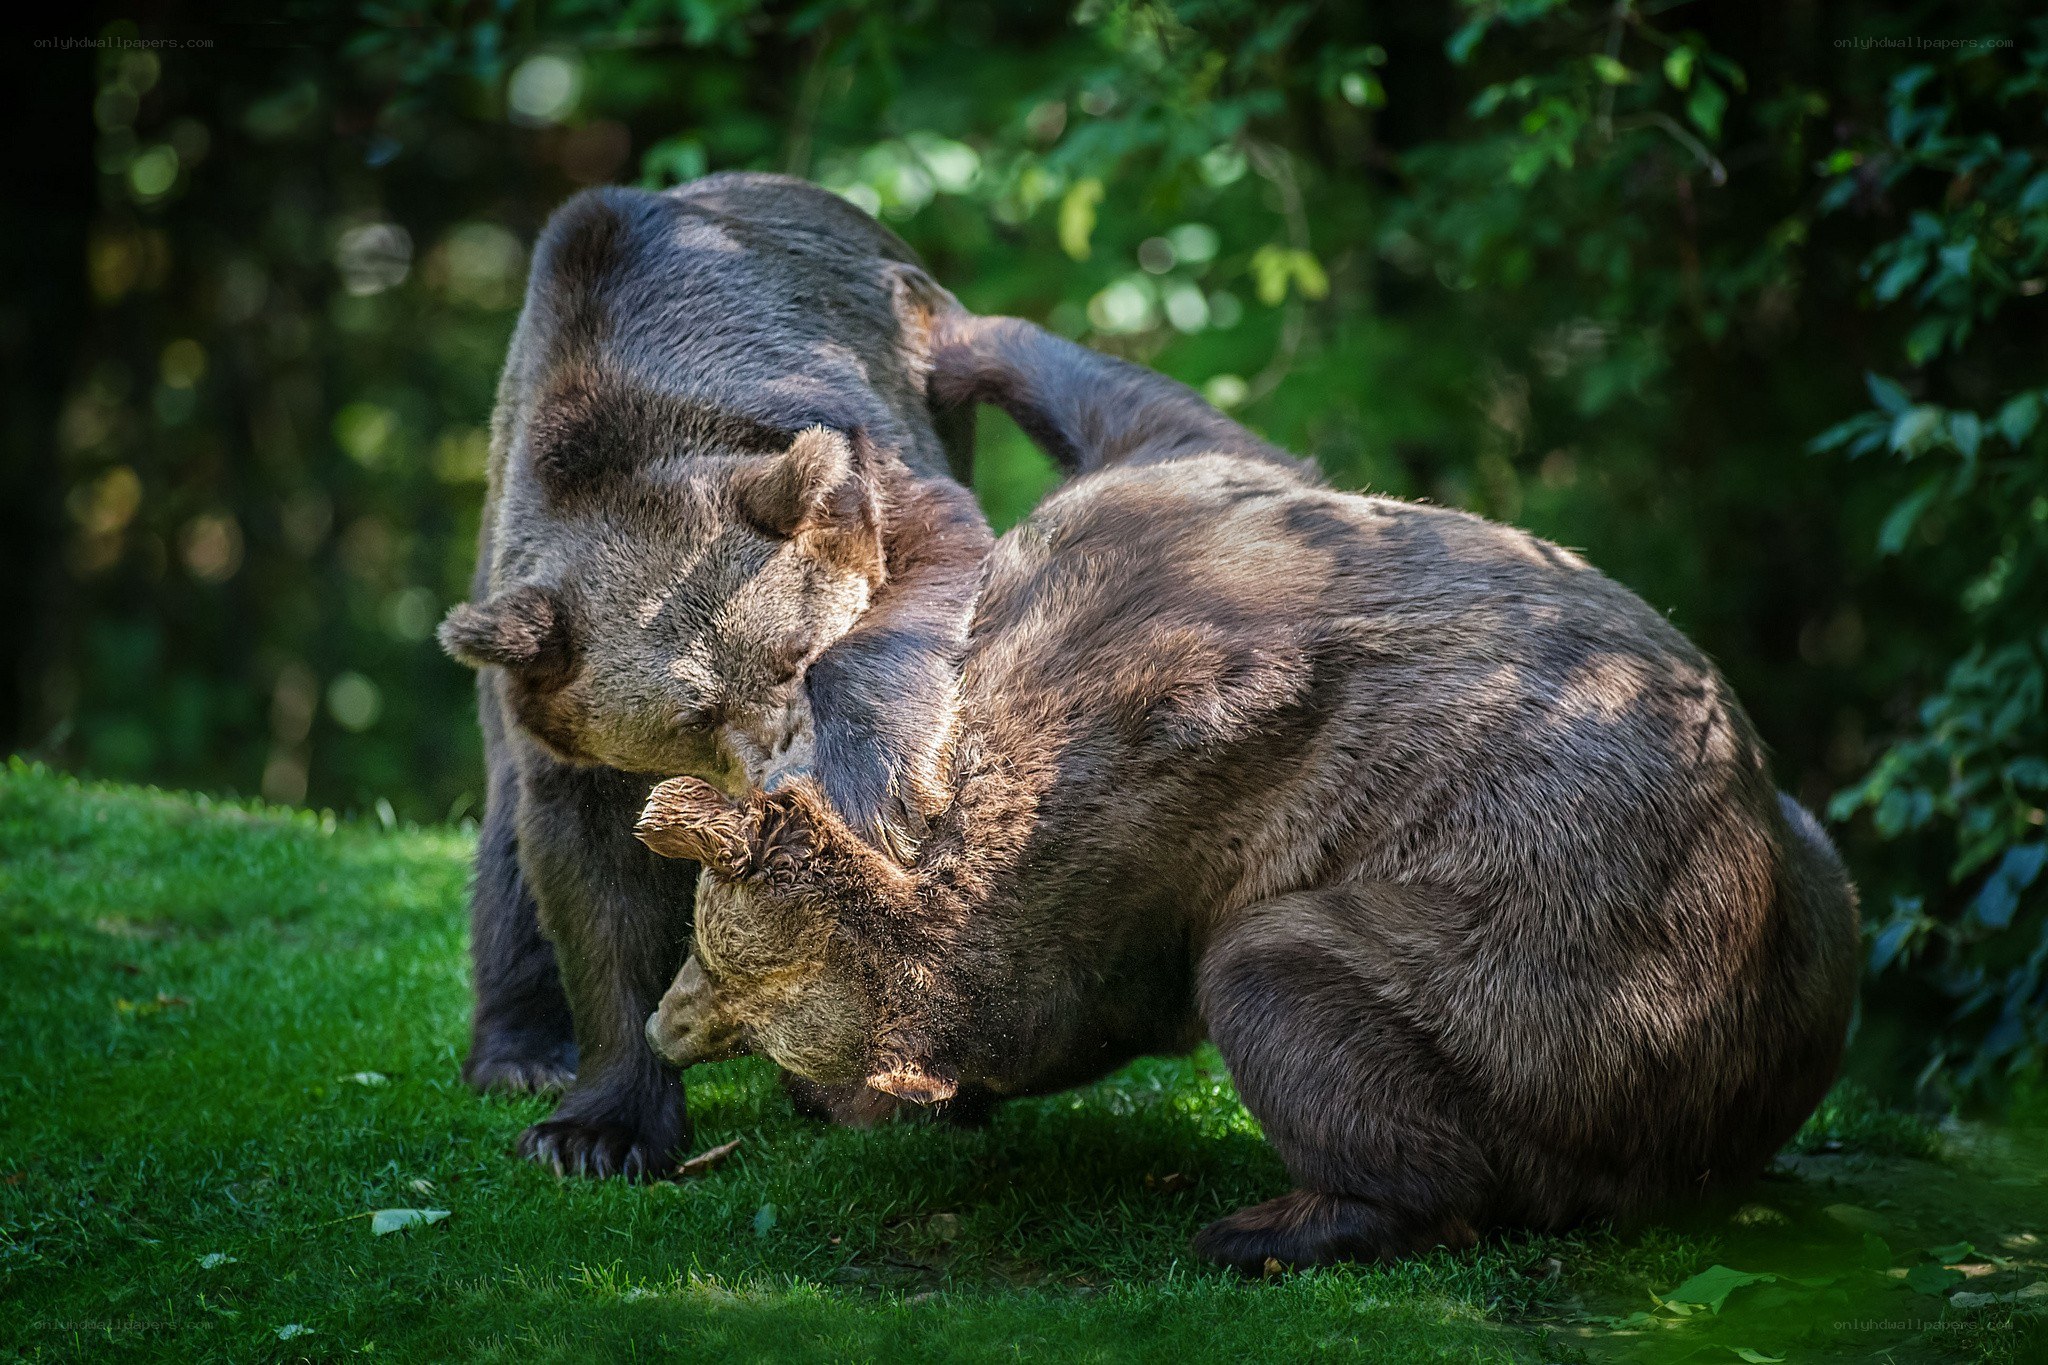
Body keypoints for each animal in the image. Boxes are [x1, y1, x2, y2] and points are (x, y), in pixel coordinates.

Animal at [437, 173, 996, 1178]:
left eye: (798, 655)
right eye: (691, 715)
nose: (780, 774)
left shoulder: (864, 452)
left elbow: (929, 568)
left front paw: (874, 786)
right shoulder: (560, 707)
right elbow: (593, 880)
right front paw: (597, 1129)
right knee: (503, 850)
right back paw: (521, 1054)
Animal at [632, 307, 1862, 1267]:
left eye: (743, 993)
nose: (666, 1024)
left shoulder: (1163, 761)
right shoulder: (1192, 504)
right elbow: (1170, 418)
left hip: (1563, 959)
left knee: (1291, 978)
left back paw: (1278, 1224)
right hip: (1802, 884)